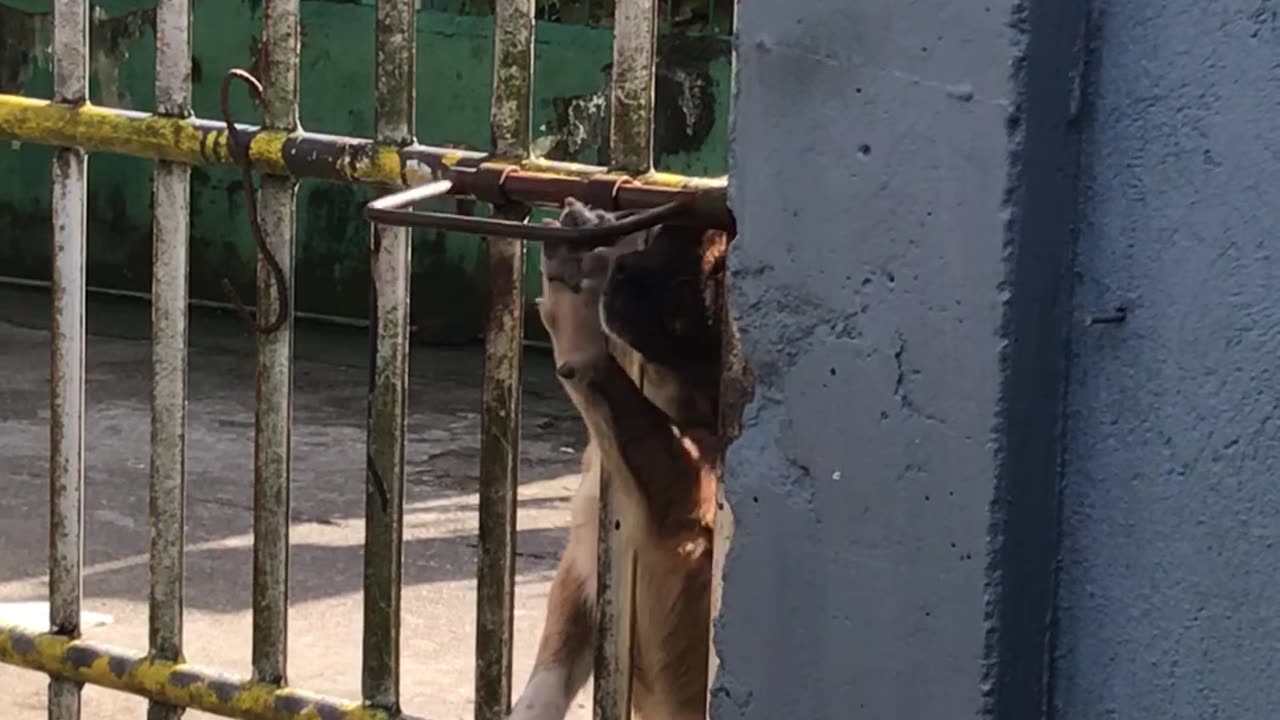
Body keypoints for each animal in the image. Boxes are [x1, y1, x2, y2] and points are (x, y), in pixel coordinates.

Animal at [509, 198, 732, 717]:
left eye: (694, 282)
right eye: (663, 234)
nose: (623, 267)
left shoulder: (688, 523)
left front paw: (575, 312)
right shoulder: (579, 575)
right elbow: (546, 681)